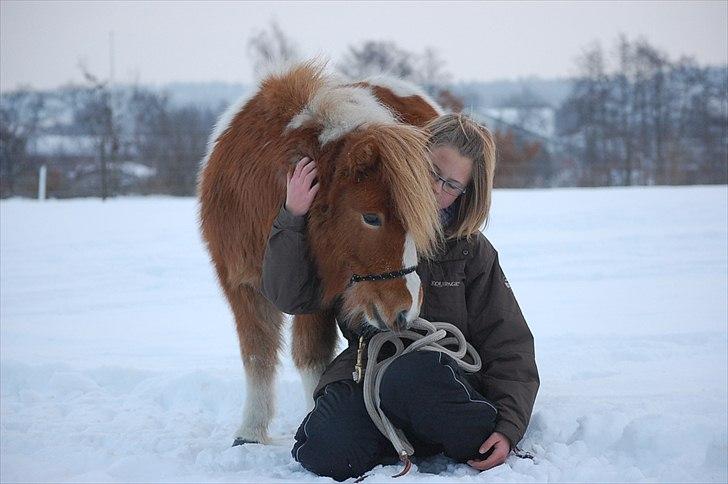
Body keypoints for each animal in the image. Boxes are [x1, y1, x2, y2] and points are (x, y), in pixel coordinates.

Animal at [198, 62, 444, 444]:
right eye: (371, 217)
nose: (405, 309)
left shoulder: (319, 297)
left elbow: (310, 357)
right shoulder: (241, 285)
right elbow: (257, 354)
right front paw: (250, 433)